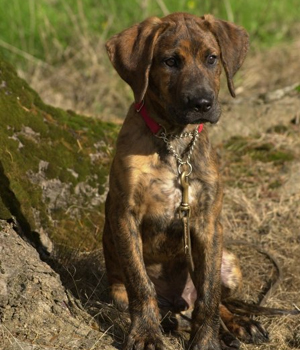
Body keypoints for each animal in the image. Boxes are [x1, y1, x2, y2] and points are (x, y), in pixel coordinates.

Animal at [102, 12, 268, 348]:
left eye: (212, 58)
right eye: (170, 61)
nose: (202, 103)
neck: (175, 142)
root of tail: (179, 302)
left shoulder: (208, 223)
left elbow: (209, 295)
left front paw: (206, 340)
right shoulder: (124, 214)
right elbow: (141, 284)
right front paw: (145, 334)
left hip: (229, 261)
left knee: (216, 299)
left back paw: (239, 324)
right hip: (118, 289)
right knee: (148, 299)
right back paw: (171, 318)